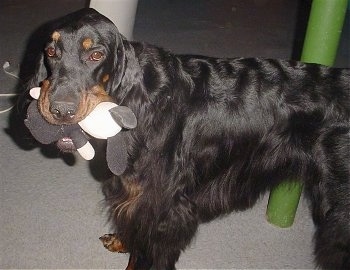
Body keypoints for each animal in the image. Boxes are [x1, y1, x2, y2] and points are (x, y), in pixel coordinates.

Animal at [28, 8, 350, 270]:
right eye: (51, 51)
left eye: (96, 54)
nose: (60, 110)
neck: (140, 95)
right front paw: (122, 240)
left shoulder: (162, 211)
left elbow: (143, 255)